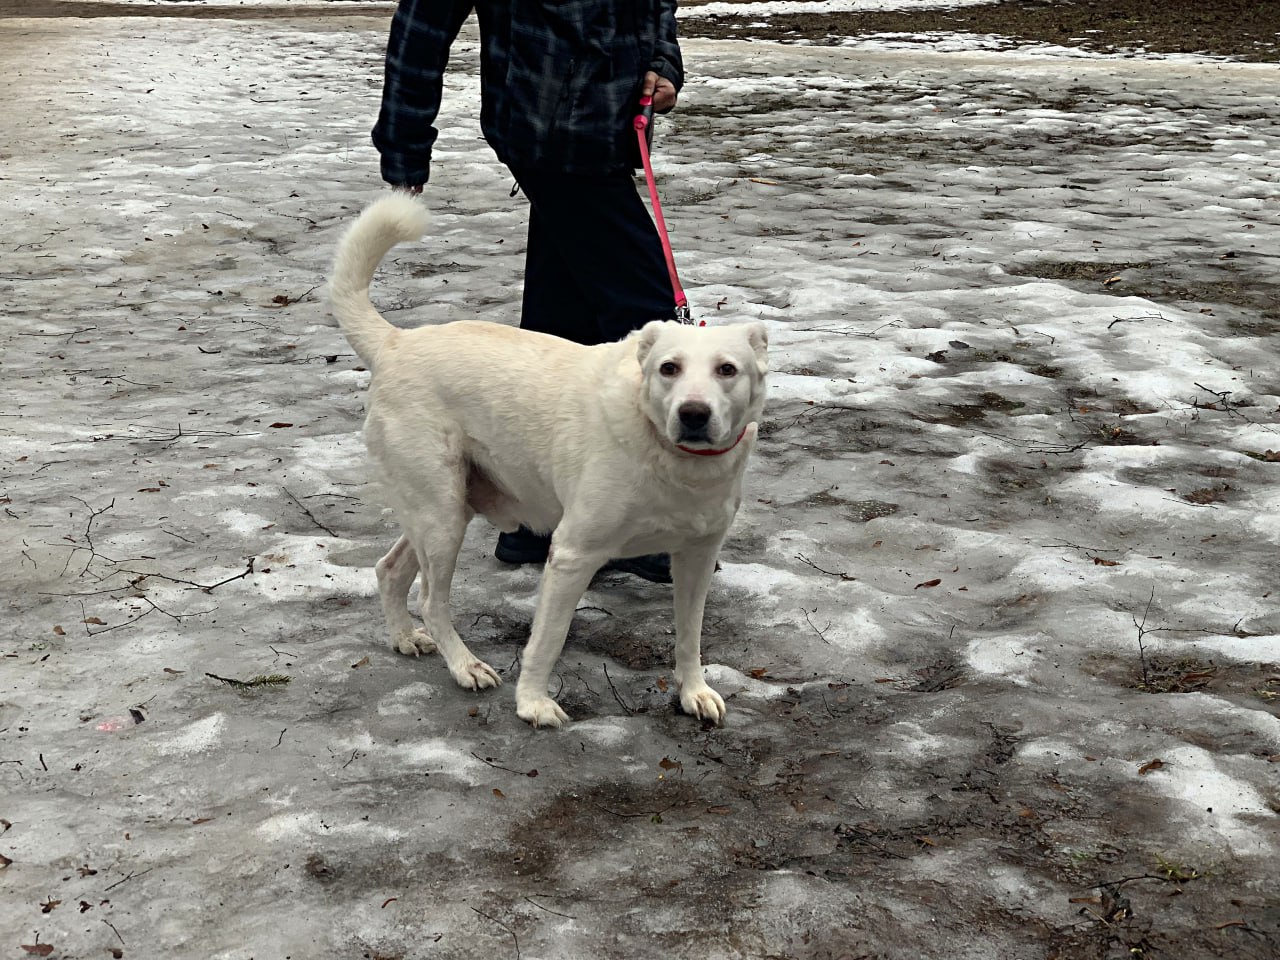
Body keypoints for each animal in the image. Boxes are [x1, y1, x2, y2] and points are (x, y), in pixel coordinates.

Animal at [332, 197, 768, 727]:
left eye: (727, 369)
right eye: (669, 368)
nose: (693, 414)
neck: (670, 454)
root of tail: (395, 343)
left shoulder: (697, 557)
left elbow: (690, 635)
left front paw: (694, 691)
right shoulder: (572, 555)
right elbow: (548, 641)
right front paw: (533, 703)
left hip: (444, 509)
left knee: (390, 570)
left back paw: (403, 637)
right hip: (440, 517)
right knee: (432, 600)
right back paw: (465, 666)